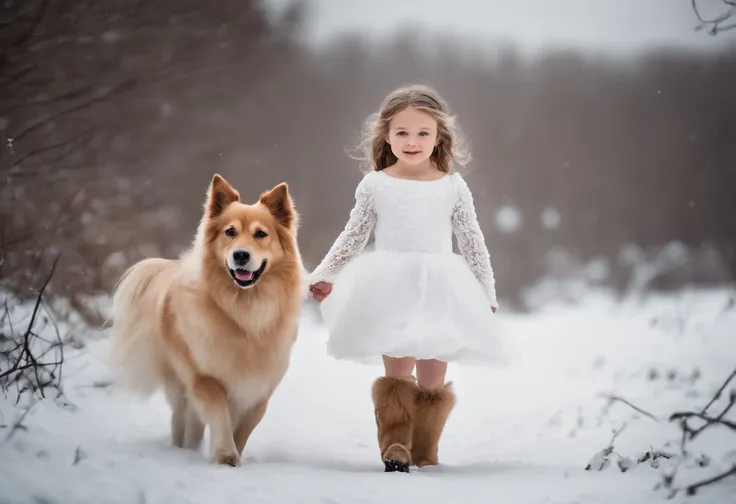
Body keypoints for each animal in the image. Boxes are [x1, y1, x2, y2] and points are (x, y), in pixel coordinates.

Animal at [110, 173, 304, 464]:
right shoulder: (203, 376)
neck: (245, 311)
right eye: (230, 232)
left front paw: (235, 453)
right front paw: (224, 454)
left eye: (260, 234)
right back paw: (183, 449)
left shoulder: (259, 390)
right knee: (183, 421)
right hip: (179, 386)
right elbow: (219, 414)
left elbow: (244, 428)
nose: (240, 255)